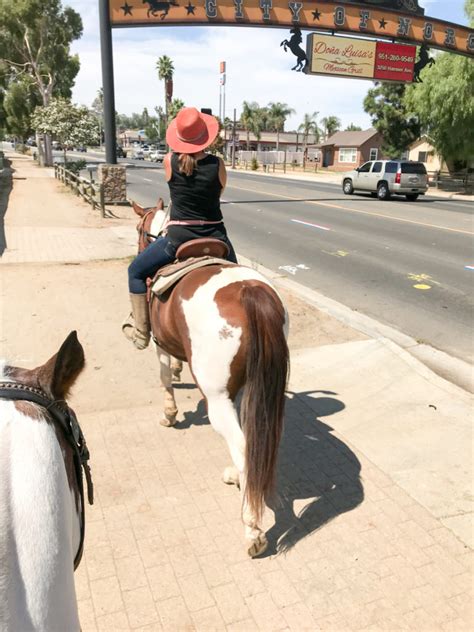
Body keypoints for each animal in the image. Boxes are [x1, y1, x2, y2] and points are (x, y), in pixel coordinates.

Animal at [132, 200, 288, 556]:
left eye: (138, 229)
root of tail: (249, 292)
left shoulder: (160, 345)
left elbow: (164, 375)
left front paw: (169, 414)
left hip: (216, 397)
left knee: (242, 444)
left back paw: (252, 529)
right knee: (251, 437)